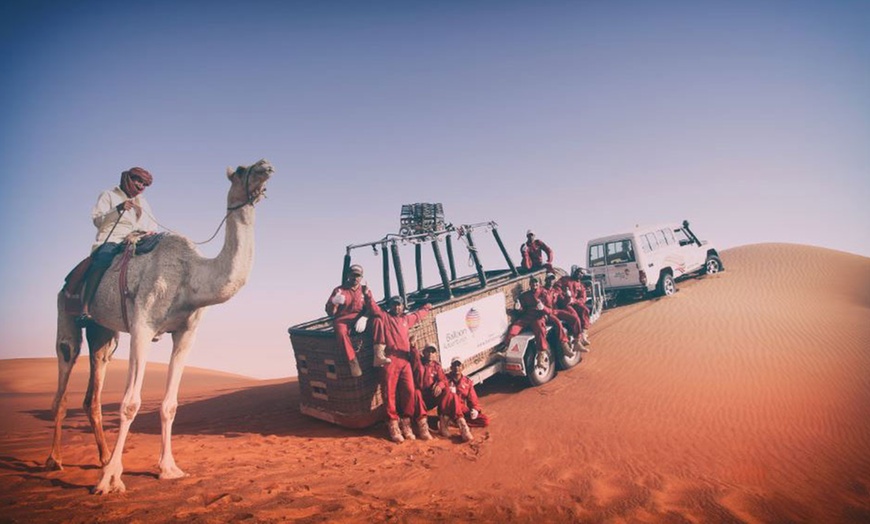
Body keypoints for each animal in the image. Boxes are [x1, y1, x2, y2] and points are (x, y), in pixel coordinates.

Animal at [44, 158, 274, 494]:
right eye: (243, 170)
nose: (265, 166)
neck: (191, 277)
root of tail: (70, 277)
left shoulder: (186, 333)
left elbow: (169, 405)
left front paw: (168, 469)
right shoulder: (142, 327)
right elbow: (130, 403)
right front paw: (110, 481)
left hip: (103, 332)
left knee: (94, 388)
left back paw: (102, 457)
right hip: (66, 313)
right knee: (64, 371)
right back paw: (56, 460)